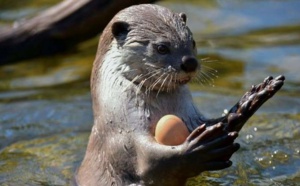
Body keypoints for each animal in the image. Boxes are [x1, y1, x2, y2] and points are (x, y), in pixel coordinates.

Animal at [75, 4, 286, 186]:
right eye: (161, 47)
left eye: (192, 42)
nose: (190, 62)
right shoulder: (124, 136)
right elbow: (152, 161)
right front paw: (198, 150)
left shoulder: (191, 116)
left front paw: (249, 101)